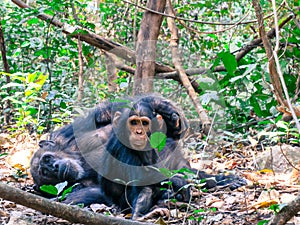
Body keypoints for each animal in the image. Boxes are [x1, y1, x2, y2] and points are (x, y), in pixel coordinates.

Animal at [30, 94, 246, 219]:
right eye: (45, 174)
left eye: (47, 160)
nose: (55, 167)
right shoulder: (75, 188)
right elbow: (82, 196)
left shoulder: (66, 135)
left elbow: (100, 115)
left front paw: (164, 108)